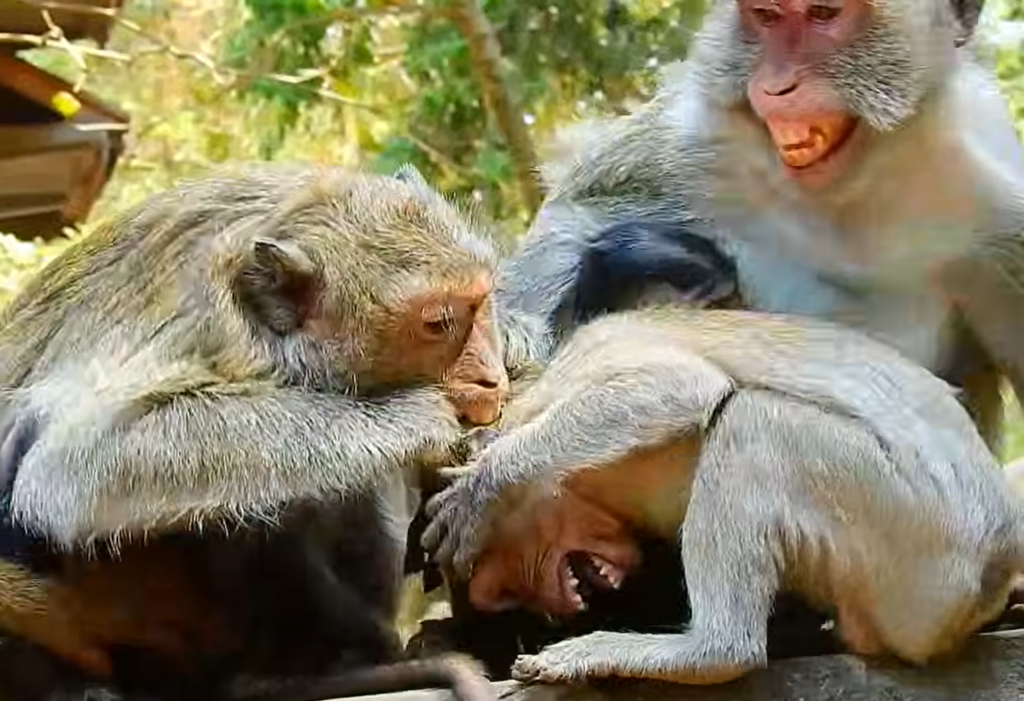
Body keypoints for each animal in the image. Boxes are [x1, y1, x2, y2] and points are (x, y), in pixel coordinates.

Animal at [0, 163, 508, 700]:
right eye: (439, 323)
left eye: (481, 303)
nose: (490, 377)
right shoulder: (213, 333)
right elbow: (72, 470)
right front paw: (419, 419)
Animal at [423, 305, 1024, 686]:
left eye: (501, 584)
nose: (539, 611)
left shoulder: (581, 363)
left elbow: (677, 388)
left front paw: (487, 483)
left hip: (918, 538)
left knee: (751, 422)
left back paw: (711, 652)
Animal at [491, 0, 1024, 452]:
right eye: (766, 16)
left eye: (824, 14)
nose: (775, 86)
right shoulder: (697, 136)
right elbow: (575, 216)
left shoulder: (995, 201)